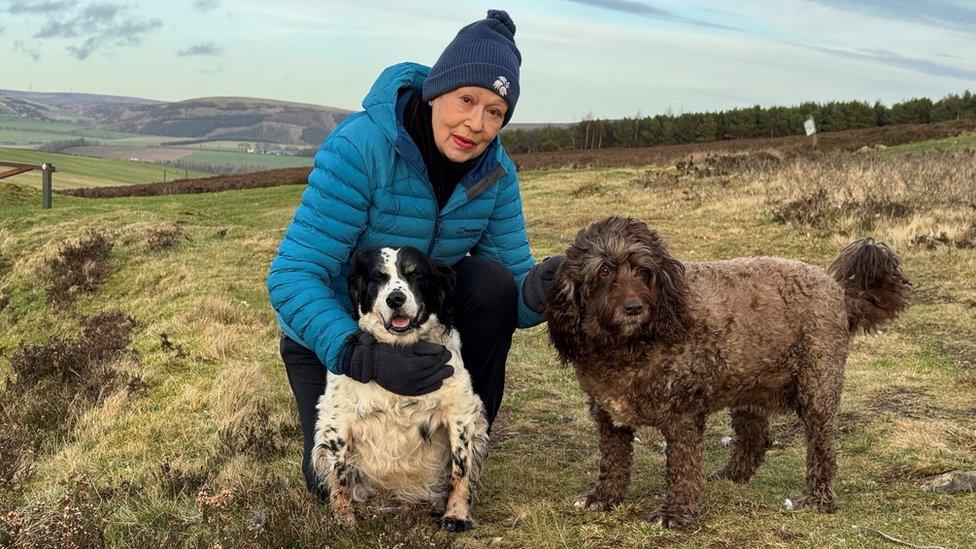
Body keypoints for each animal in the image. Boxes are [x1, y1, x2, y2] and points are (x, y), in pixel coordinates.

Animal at [544, 214, 912, 528]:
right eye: (604, 272)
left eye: (644, 270)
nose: (634, 307)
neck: (629, 345)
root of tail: (837, 288)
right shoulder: (609, 416)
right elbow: (613, 461)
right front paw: (604, 496)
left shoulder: (682, 416)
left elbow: (682, 468)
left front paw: (675, 512)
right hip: (747, 385)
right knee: (756, 438)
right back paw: (733, 475)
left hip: (817, 386)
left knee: (822, 448)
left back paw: (818, 497)